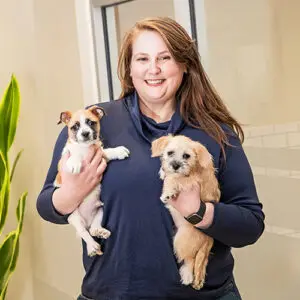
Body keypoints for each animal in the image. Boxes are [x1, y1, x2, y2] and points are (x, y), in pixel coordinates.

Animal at [54, 105, 129, 255]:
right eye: (75, 126)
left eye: (91, 123)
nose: (85, 133)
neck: (84, 148)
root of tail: (87, 222)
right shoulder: (63, 164)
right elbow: (73, 155)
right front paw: (75, 162)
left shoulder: (100, 155)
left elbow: (107, 151)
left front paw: (118, 151)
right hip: (74, 217)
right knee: (84, 232)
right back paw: (92, 246)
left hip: (100, 211)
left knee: (93, 229)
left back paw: (100, 231)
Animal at [152, 135, 220, 290]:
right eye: (170, 153)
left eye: (186, 156)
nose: (175, 166)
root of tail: (208, 240)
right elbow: (170, 174)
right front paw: (163, 170)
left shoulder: (190, 181)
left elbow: (174, 179)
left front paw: (167, 192)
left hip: (181, 239)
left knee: (189, 260)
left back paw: (187, 276)